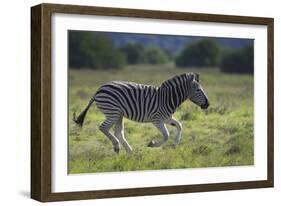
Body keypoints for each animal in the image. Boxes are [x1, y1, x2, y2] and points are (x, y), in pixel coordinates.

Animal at [73, 72, 209, 153]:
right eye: (198, 90)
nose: (208, 104)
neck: (167, 97)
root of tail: (100, 89)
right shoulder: (157, 119)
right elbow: (166, 135)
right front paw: (152, 144)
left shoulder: (167, 118)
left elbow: (180, 126)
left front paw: (175, 144)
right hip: (113, 112)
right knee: (103, 127)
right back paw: (117, 146)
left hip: (119, 114)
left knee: (118, 132)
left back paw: (129, 151)